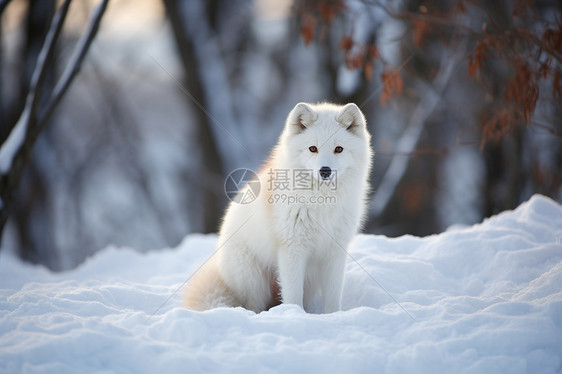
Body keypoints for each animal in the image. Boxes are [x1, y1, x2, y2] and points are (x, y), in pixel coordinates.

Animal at [184, 101, 372, 312]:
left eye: (338, 149)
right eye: (312, 148)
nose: (325, 171)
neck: (321, 201)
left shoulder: (335, 252)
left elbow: (333, 297)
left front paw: (333, 316)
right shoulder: (292, 249)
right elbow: (293, 295)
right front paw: (294, 314)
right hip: (254, 281)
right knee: (253, 305)